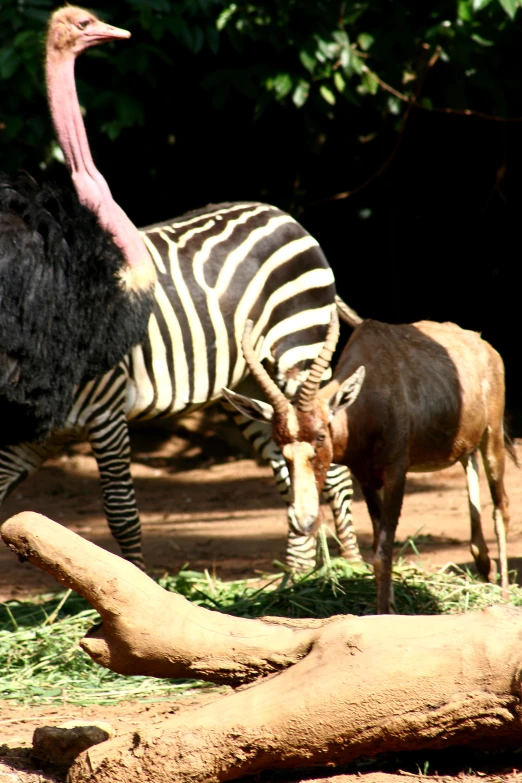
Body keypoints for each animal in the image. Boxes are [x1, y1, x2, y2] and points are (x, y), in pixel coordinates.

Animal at [0, 201, 360, 568]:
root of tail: (277, 212)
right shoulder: (27, 442)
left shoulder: (107, 414)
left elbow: (122, 515)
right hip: (251, 386)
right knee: (289, 477)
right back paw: (296, 575)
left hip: (300, 353)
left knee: (335, 471)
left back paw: (350, 566)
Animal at [221, 306, 510, 612]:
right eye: (279, 442)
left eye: (321, 435)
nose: (303, 518)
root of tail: (483, 345)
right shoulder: (367, 479)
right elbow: (375, 545)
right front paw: (390, 605)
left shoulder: (396, 472)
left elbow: (382, 552)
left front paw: (384, 612)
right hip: (464, 443)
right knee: (470, 466)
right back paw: (484, 567)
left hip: (492, 435)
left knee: (501, 506)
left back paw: (504, 594)